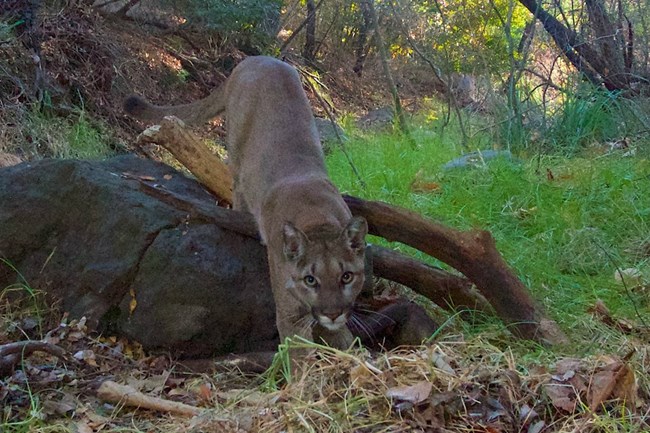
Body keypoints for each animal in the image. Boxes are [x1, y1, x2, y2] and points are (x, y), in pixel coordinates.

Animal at [123, 56, 364, 348]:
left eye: (346, 276)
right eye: (310, 279)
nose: (332, 313)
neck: (317, 217)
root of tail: (257, 58)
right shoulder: (290, 313)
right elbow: (298, 350)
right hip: (237, 151)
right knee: (236, 186)